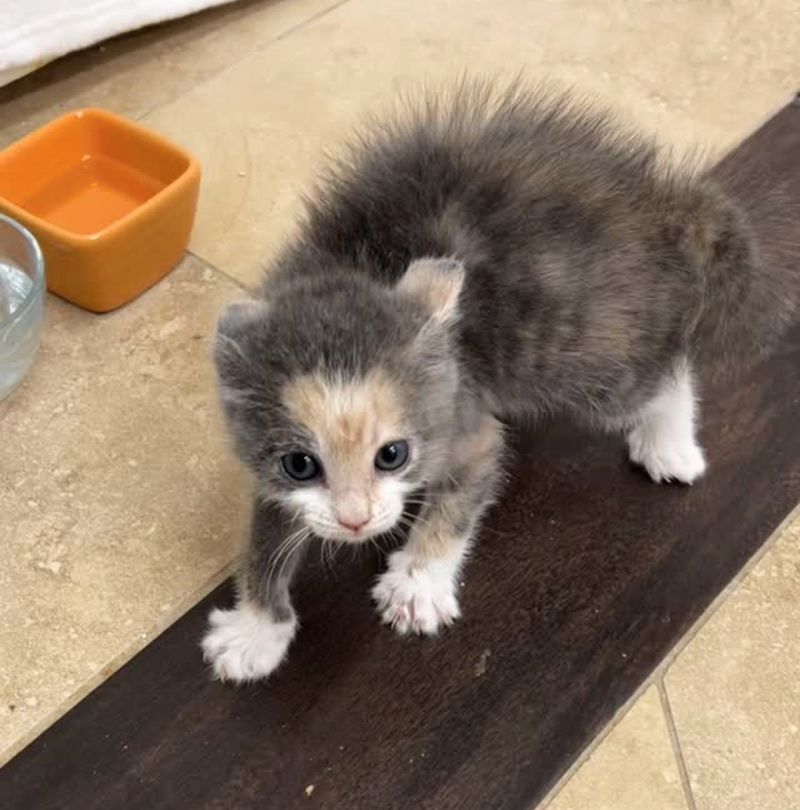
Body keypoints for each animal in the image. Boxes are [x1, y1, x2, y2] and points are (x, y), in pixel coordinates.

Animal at [198, 82, 792, 680]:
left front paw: (418, 584)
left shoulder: (464, 416)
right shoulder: (269, 468)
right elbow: (265, 538)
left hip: (582, 354)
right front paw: (257, 630)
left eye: (393, 455)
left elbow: (461, 497)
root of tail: (668, 209)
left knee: (663, 376)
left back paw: (670, 445)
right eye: (300, 465)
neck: (355, 265)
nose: (354, 521)